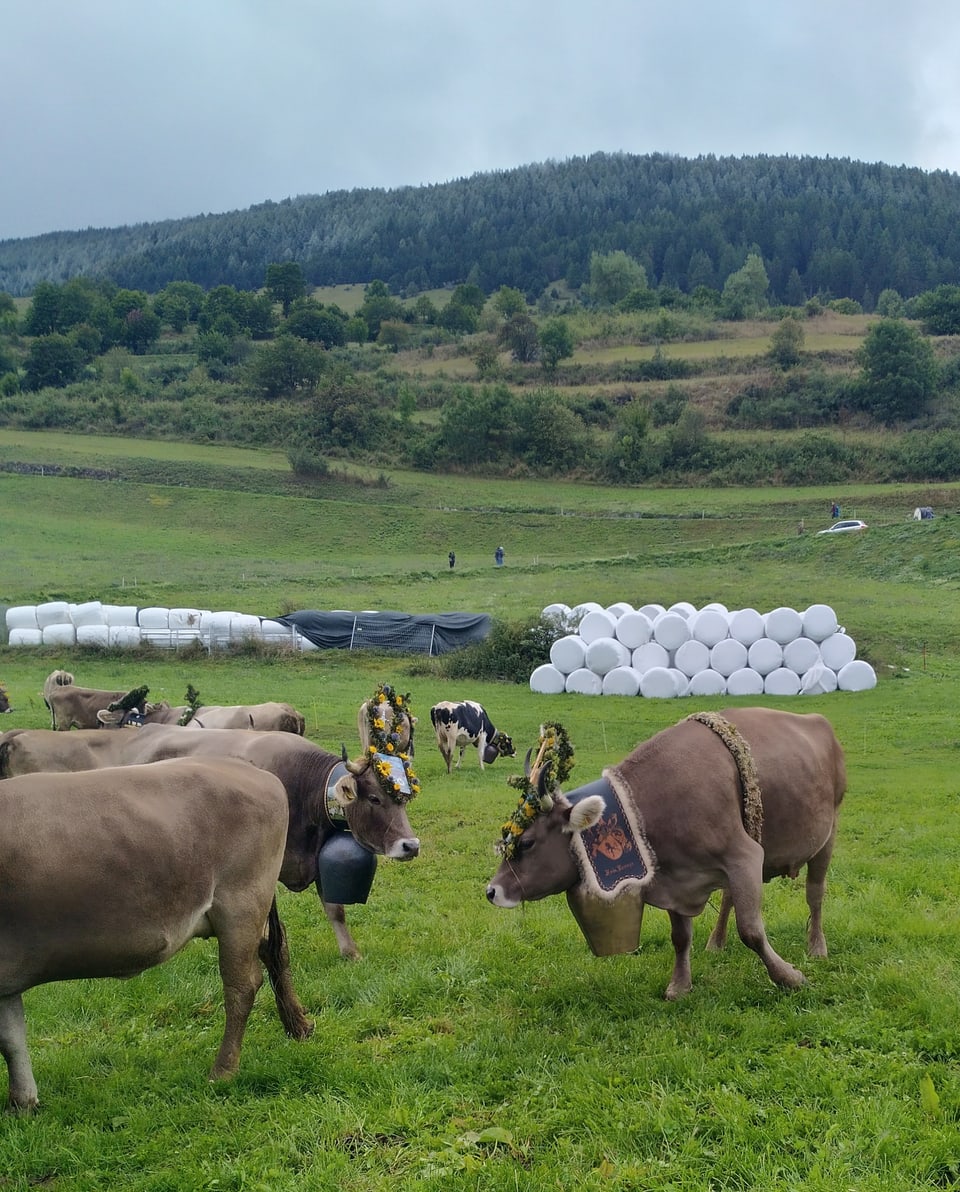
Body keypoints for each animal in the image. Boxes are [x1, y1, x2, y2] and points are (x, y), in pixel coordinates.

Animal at [0, 724, 419, 958]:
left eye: (405, 798)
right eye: (374, 798)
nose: (411, 846)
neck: (302, 784)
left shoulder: (315, 859)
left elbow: (336, 909)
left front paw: (350, 952)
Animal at [0, 758, 310, 1110]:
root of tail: (242, 765)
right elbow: (12, 1038)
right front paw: (22, 1102)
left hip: (240, 903)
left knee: (242, 987)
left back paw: (223, 1070)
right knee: (276, 949)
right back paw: (299, 1026)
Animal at [484, 705, 844, 996]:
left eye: (527, 842)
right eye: (506, 837)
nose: (491, 891)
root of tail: (817, 720)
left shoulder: (743, 856)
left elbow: (752, 931)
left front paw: (789, 977)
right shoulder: (677, 877)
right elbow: (680, 936)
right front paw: (680, 985)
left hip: (828, 834)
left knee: (815, 894)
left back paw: (817, 947)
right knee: (729, 896)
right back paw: (716, 943)